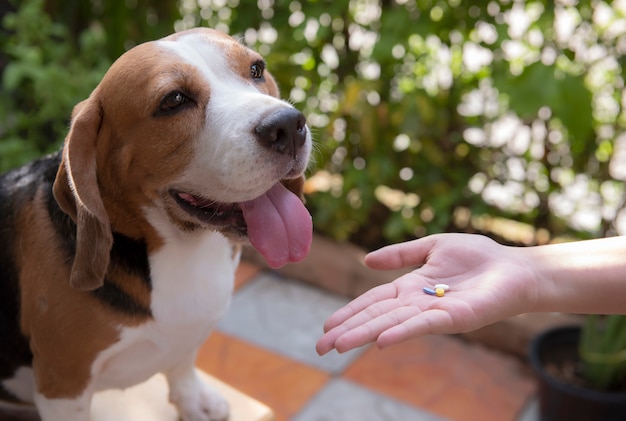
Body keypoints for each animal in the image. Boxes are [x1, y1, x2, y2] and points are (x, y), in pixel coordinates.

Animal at [0, 27, 312, 418]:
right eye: (174, 100)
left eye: (256, 69)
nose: (288, 125)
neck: (184, 251)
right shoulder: (63, 384)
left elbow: (182, 362)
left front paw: (193, 400)